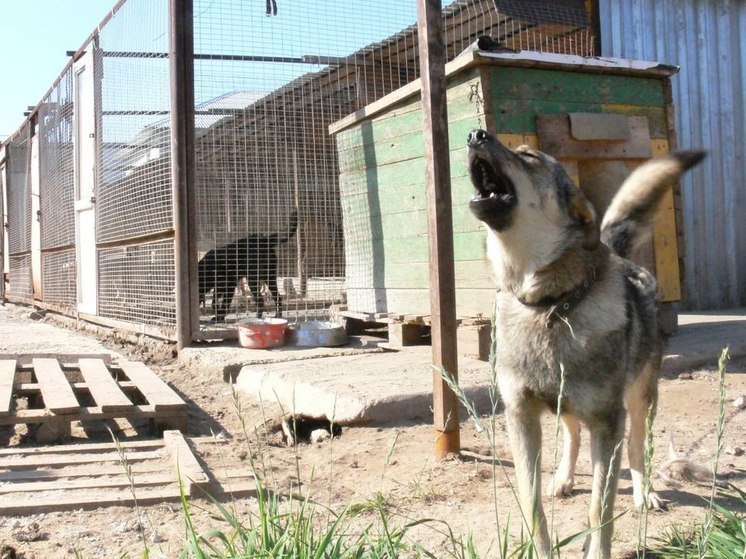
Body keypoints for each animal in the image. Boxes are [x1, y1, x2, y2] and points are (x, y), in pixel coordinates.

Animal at [464, 129, 704, 559]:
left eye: (528, 156)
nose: (475, 134)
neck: (549, 305)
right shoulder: (520, 417)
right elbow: (532, 503)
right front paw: (541, 548)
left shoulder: (608, 422)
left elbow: (599, 507)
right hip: (568, 406)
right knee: (573, 435)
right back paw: (563, 477)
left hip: (640, 399)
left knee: (636, 447)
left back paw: (645, 493)